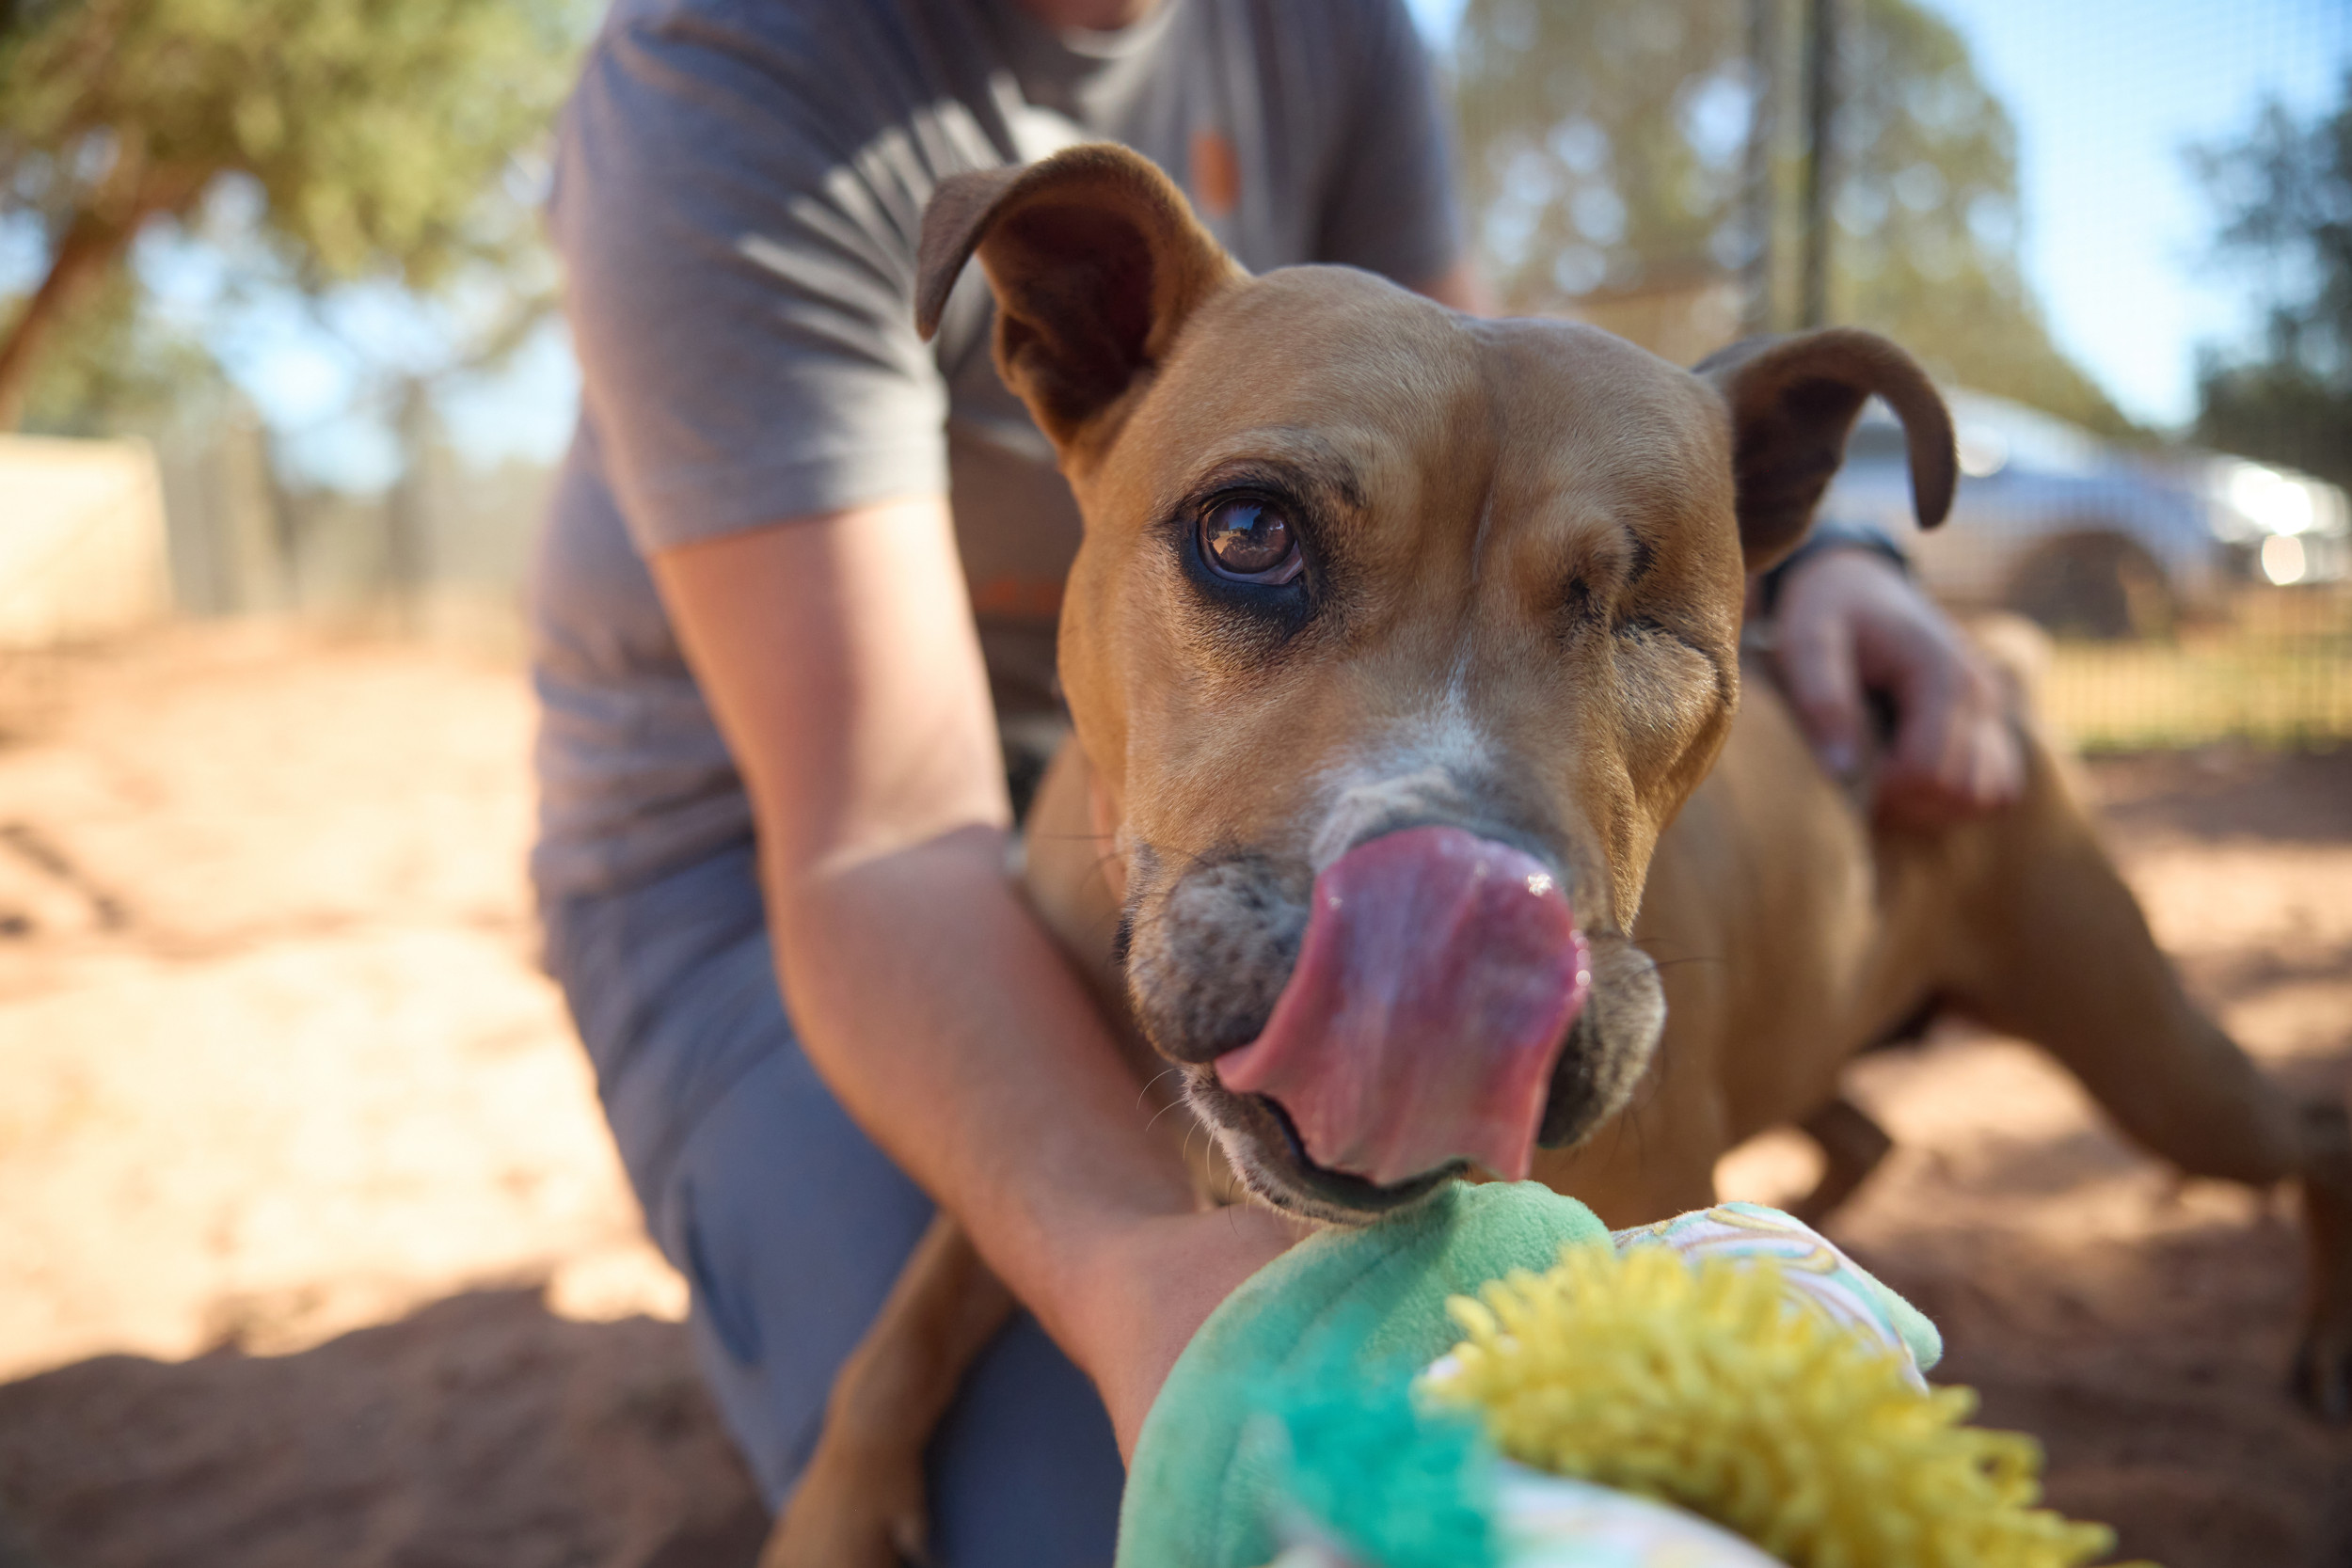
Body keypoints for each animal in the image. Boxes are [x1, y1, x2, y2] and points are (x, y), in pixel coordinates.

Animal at [762, 140, 2343, 1560]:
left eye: (1651, 621)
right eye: (1248, 530)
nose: (1458, 903)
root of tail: (1997, 673)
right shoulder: (1041, 1069)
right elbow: (907, 1314)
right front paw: (835, 1511)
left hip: (2148, 1055)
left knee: (2303, 1134)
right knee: (1868, 1127)